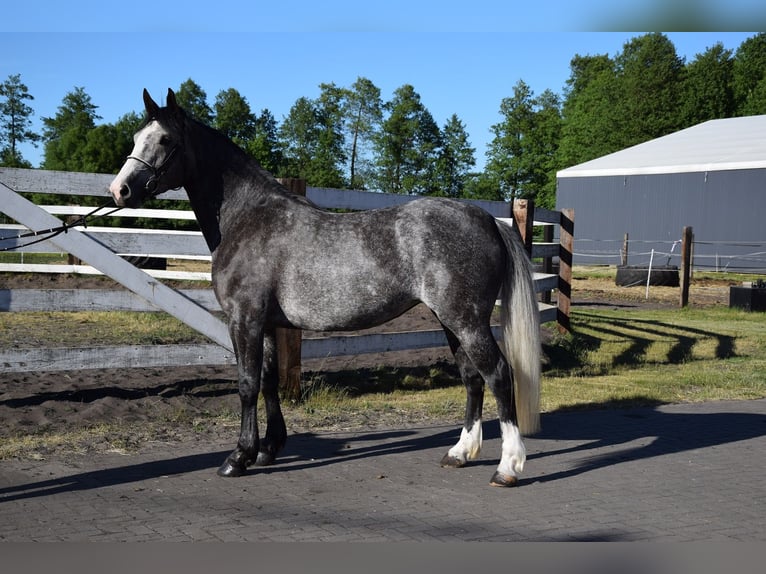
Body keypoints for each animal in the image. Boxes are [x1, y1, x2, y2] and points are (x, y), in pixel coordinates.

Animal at [109, 88, 542, 487]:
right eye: (136, 136)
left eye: (165, 139)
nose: (120, 190)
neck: (249, 218)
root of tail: (488, 220)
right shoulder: (267, 324)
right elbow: (268, 381)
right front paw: (268, 449)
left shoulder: (244, 319)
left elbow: (247, 384)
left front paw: (238, 457)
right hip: (450, 321)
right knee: (472, 378)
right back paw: (460, 453)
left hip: (467, 321)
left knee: (499, 375)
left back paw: (507, 467)